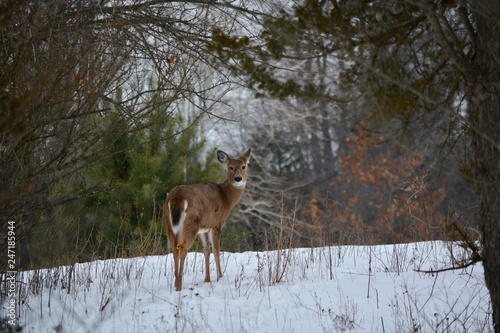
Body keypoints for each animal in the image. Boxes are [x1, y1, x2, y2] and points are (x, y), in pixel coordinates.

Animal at [164, 149, 250, 290]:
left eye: (243, 166)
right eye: (230, 167)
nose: (238, 178)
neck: (225, 198)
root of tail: (177, 197)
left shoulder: (203, 228)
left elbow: (206, 250)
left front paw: (207, 279)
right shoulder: (216, 224)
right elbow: (216, 250)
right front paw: (220, 277)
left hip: (169, 224)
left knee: (174, 246)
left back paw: (176, 283)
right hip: (191, 223)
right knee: (182, 247)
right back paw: (179, 284)